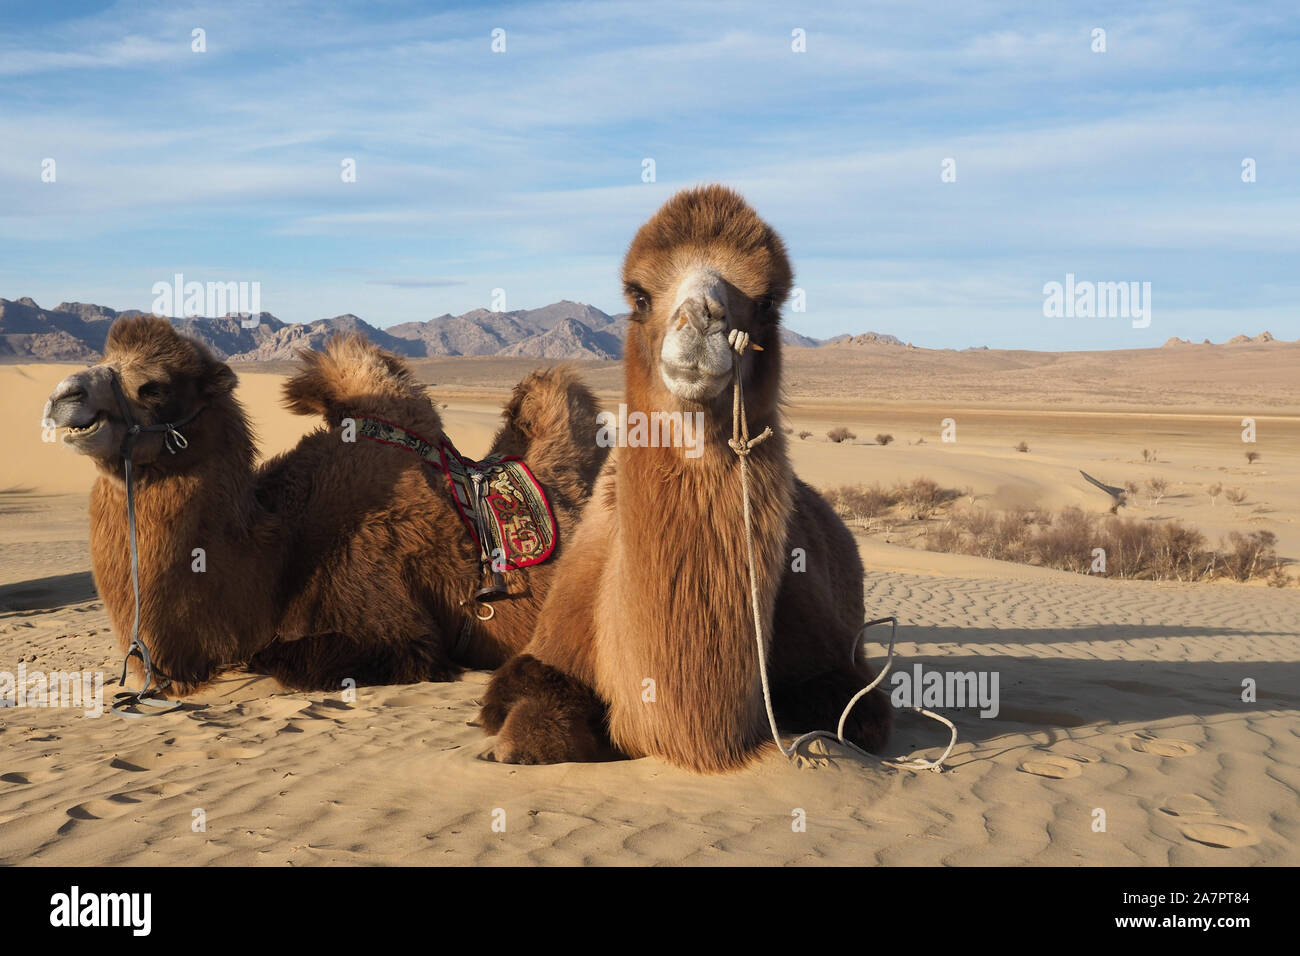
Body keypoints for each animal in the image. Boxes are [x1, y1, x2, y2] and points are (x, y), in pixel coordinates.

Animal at [478, 184, 894, 770]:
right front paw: (513, 741)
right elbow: (525, 710)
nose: (700, 319)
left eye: (768, 302)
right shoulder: (545, 648)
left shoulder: (837, 671)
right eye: (638, 296)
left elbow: (853, 716)